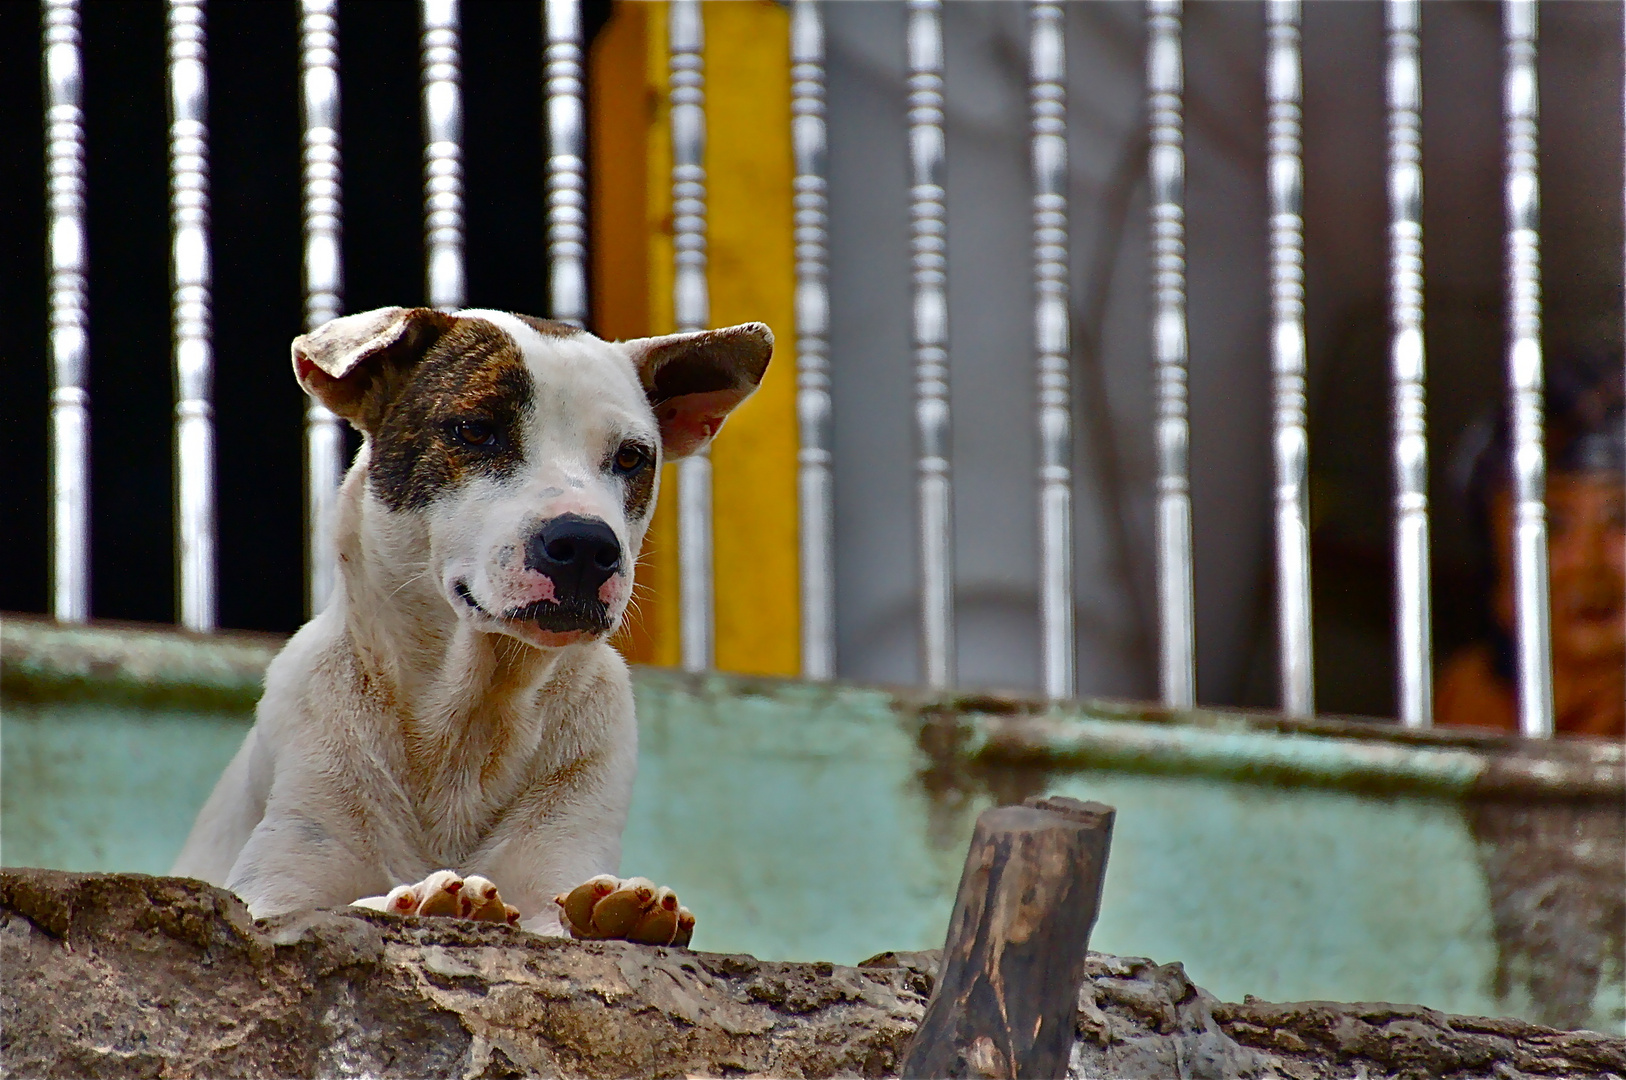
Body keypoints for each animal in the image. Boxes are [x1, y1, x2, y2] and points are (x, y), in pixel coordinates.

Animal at [171, 305, 773, 943]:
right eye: (477, 431)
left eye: (632, 457)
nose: (587, 546)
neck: (472, 719)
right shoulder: (275, 888)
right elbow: (341, 902)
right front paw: (420, 897)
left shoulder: (558, 863)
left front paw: (624, 912)